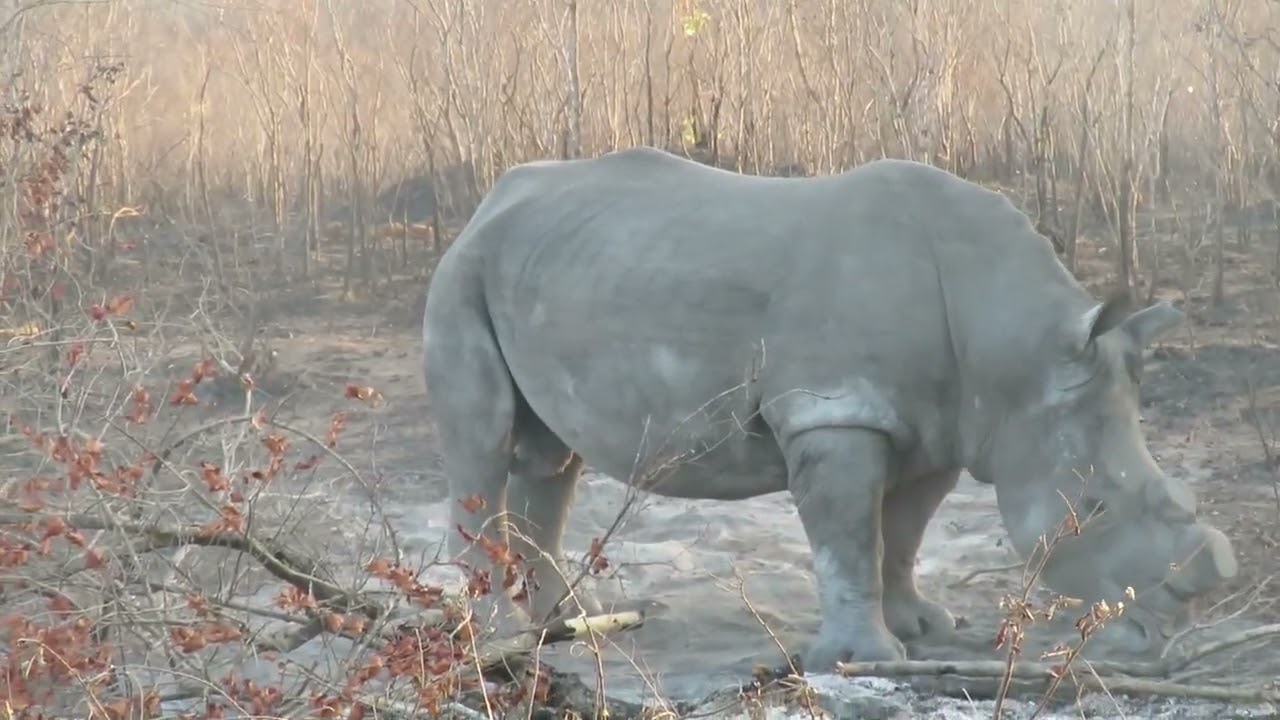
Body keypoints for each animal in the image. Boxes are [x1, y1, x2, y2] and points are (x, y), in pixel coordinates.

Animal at [420, 146, 1238, 672]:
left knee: (549, 454)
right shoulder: (835, 409)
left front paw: (925, 630)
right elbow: (848, 537)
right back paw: (497, 640)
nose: (1165, 636)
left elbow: (901, 533)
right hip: (461, 273)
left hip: (555, 265)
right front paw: (861, 658)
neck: (1017, 354)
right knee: (484, 439)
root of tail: (490, 202)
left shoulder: (939, 425)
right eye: (1095, 508)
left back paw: (565, 625)